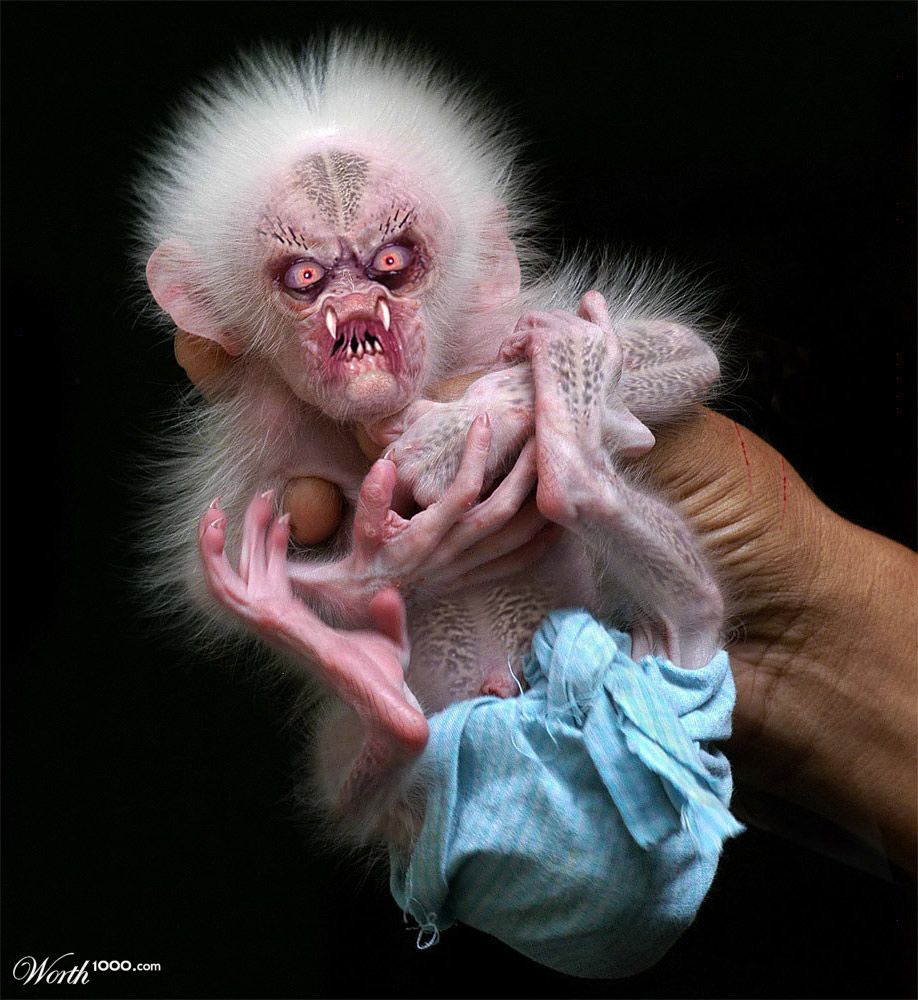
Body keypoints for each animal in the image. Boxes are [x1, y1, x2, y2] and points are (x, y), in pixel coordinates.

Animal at [138, 36, 724, 847]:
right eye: (306, 275)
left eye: (390, 261)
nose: (356, 303)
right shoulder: (259, 421)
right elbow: (209, 575)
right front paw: (400, 562)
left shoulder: (493, 328)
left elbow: (685, 355)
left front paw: (457, 431)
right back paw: (381, 703)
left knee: (689, 635)